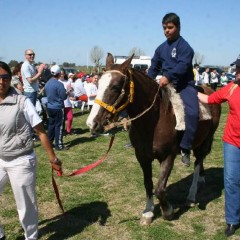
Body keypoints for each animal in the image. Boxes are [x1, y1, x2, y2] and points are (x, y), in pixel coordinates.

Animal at [86, 53, 221, 225]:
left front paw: (167, 211)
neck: (154, 120)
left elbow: (159, 189)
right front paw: (148, 212)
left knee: (198, 162)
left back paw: (191, 196)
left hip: (205, 140)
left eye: (115, 87)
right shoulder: (142, 157)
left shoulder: (168, 157)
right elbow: (148, 184)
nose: (92, 123)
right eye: (98, 83)